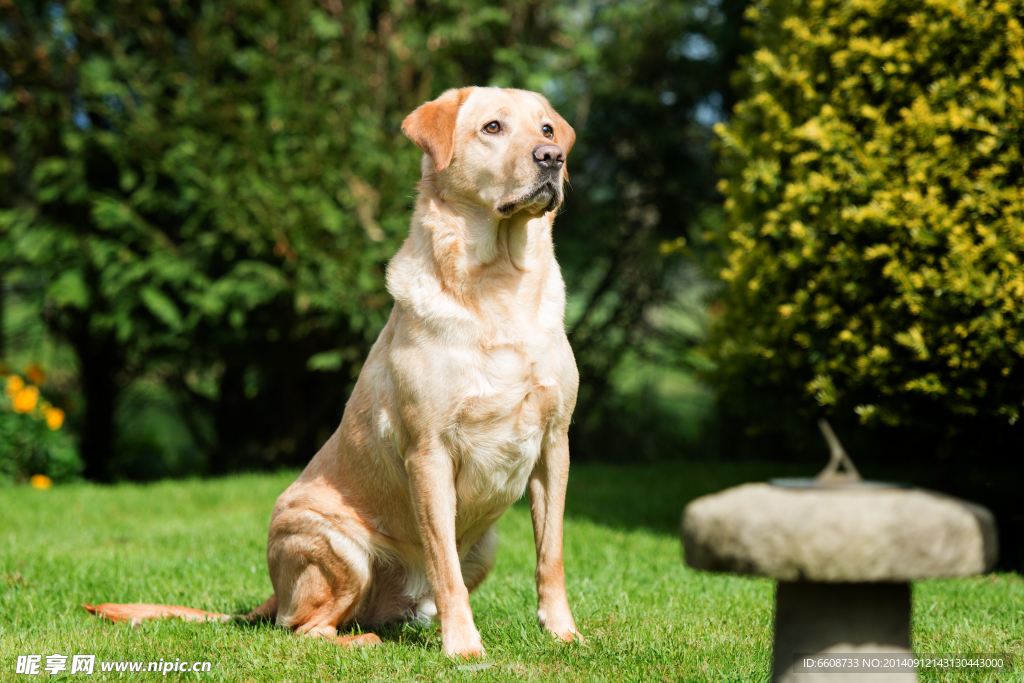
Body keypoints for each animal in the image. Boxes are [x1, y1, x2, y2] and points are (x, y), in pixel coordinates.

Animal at [86, 85, 585, 655]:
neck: (498, 284)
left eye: (546, 129)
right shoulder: (429, 452)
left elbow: (551, 555)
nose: (552, 158)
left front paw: (563, 631)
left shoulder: (554, 443)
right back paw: (364, 640)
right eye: (493, 128)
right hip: (336, 547)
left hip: (483, 548)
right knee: (304, 629)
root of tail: (273, 594)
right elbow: (444, 566)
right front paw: (463, 646)